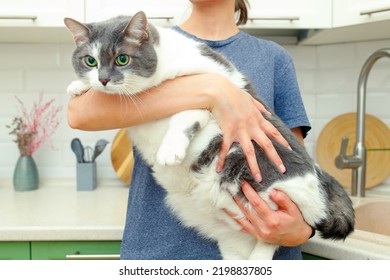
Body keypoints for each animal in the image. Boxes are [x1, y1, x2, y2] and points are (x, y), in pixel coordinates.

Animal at [65, 11, 354, 260]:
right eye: (90, 61)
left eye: (122, 59)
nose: (103, 79)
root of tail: (319, 174)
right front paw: (78, 86)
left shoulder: (215, 83)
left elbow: (187, 113)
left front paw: (170, 149)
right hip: (233, 242)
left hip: (275, 192)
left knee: (276, 235)